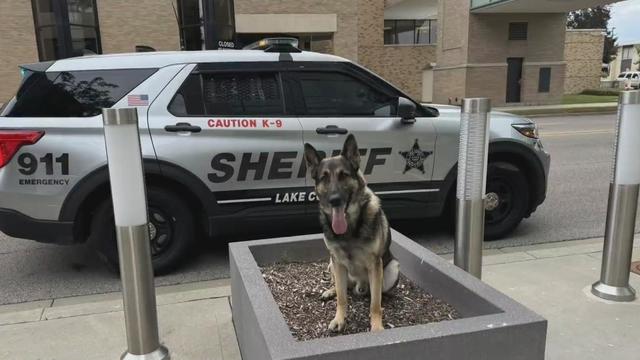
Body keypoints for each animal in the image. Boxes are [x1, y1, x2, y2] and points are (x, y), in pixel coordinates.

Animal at [304, 134, 400, 332]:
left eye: (344, 175)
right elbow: (342, 298)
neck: (349, 228)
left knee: (377, 293)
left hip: (392, 268)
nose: (334, 200)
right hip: (331, 264)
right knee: (342, 287)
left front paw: (377, 327)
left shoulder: (375, 265)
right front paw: (339, 319)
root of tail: (359, 285)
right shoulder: (338, 263)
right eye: (324, 178)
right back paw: (331, 291)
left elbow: (374, 303)